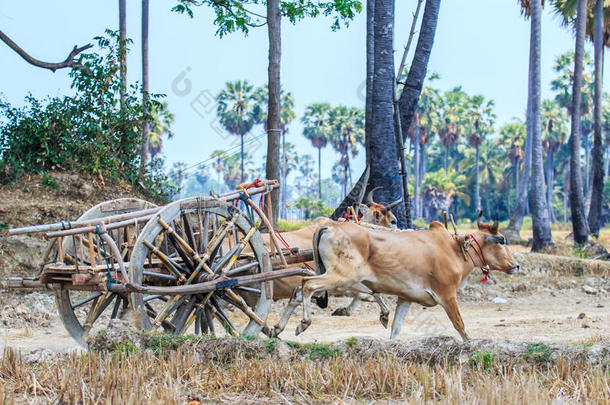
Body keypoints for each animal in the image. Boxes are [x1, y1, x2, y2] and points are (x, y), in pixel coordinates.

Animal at [294, 216, 516, 340]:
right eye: (501, 240)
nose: (516, 265)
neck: (454, 250)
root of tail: (329, 227)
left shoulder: (406, 298)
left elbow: (396, 329)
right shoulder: (447, 294)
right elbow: (459, 325)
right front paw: (470, 344)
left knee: (299, 291)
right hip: (342, 276)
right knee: (307, 285)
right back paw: (304, 323)